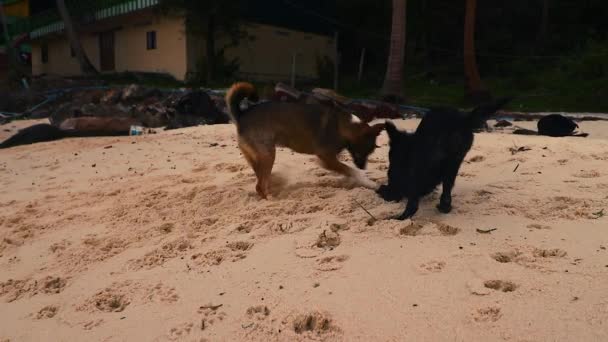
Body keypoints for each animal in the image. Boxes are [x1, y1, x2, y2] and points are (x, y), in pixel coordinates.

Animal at [223, 82, 384, 198]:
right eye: (363, 151)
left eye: (371, 152)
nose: (363, 167)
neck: (344, 126)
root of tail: (242, 116)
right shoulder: (327, 158)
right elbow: (351, 170)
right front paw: (368, 182)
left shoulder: (329, 160)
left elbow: (347, 170)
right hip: (268, 155)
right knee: (260, 186)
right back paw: (270, 198)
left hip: (257, 158)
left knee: (260, 180)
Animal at [378, 97, 510, 220]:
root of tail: (461, 120)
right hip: (455, 162)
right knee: (446, 190)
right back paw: (444, 207)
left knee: (414, 202)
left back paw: (400, 218)